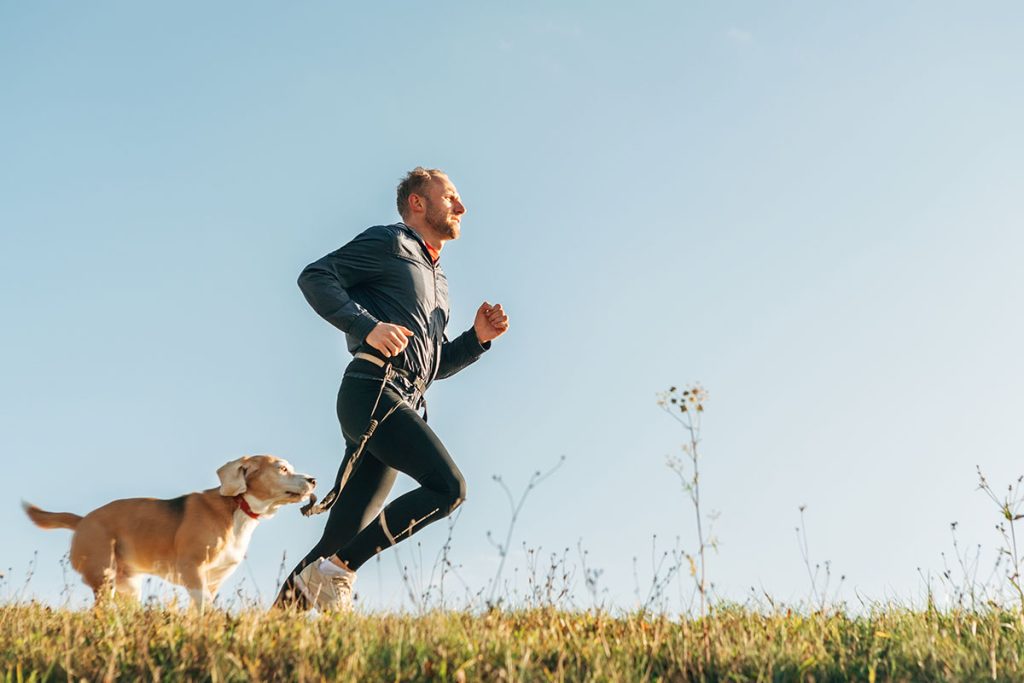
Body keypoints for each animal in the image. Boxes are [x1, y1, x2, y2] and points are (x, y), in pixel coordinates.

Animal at [24, 454, 315, 610]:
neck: (238, 507)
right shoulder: (192, 569)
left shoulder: (213, 581)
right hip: (104, 577)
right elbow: (201, 606)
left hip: (128, 585)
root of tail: (83, 520)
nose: (313, 480)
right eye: (282, 468)